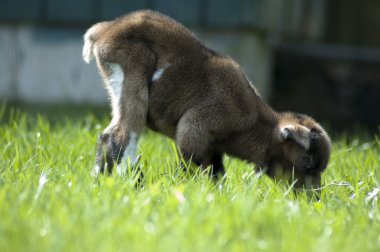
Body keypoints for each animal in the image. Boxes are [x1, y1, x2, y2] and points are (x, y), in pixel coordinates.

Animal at [82, 10, 330, 190]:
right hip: (131, 75)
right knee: (121, 135)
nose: (315, 197)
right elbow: (190, 165)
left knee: (109, 137)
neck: (252, 120)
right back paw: (134, 184)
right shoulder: (195, 128)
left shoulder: (213, 148)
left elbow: (216, 172)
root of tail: (104, 30)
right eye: (308, 162)